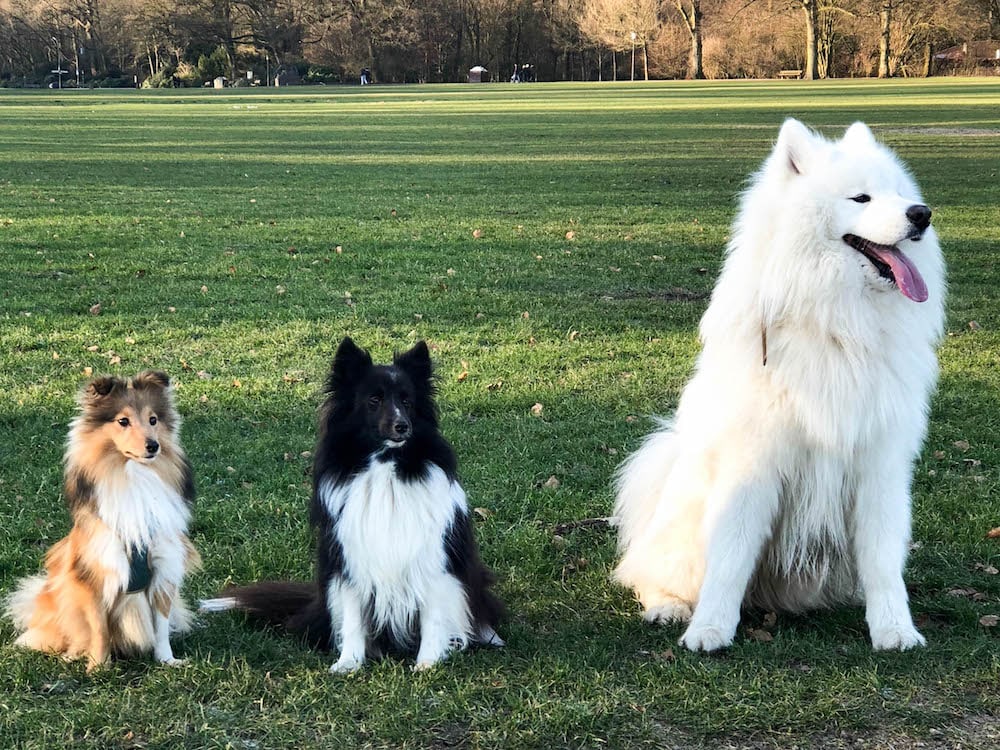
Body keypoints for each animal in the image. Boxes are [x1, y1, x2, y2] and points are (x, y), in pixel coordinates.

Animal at [4, 374, 200, 672]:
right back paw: (73, 653)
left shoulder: (164, 568)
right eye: (123, 421)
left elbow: (161, 626)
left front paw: (167, 660)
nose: (153, 446)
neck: (133, 477)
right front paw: (98, 666)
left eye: (153, 419)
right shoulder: (94, 573)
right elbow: (98, 627)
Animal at [202, 338, 504, 672]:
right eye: (374, 400)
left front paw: (427, 663)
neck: (385, 467)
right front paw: (348, 663)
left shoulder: (434, 560)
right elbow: (352, 617)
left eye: (407, 401)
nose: (402, 426)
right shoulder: (348, 561)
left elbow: (433, 618)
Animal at [616, 117, 944, 652]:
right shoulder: (752, 464)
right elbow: (729, 557)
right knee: (645, 573)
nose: (921, 214)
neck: (837, 326)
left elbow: (883, 561)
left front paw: (895, 629)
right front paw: (709, 629)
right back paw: (670, 607)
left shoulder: (880, 465)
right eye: (861, 198)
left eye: (900, 194)